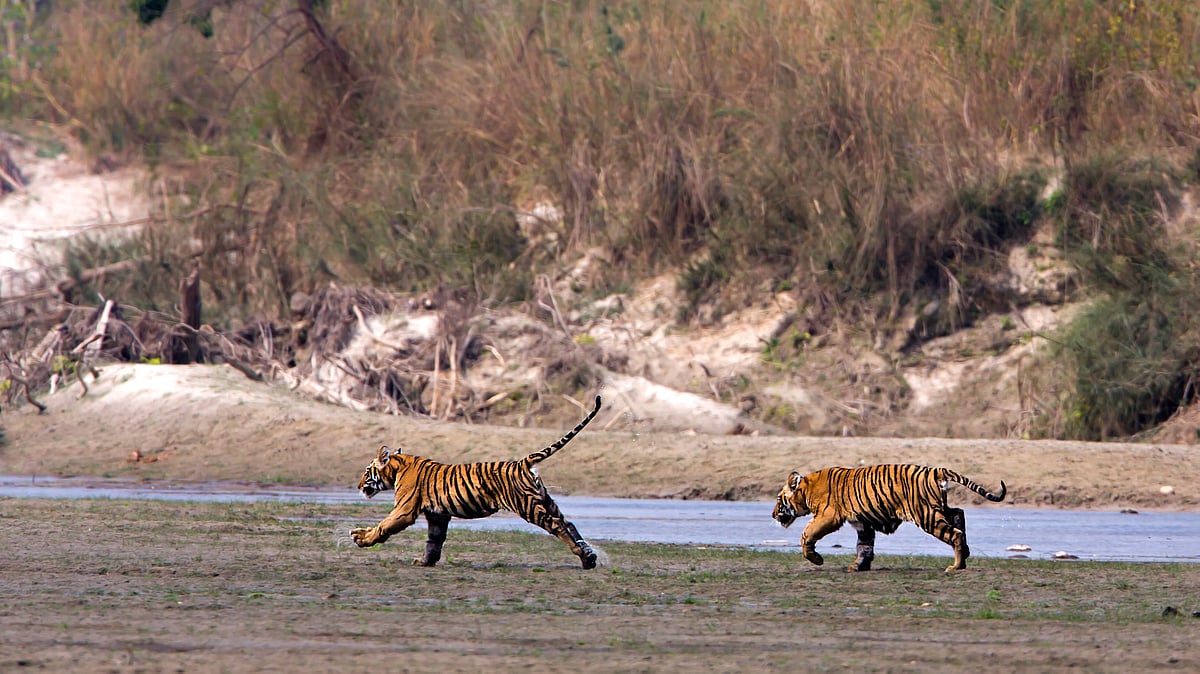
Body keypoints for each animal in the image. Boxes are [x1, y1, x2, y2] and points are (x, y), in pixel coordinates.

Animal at [350, 395, 602, 569]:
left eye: (367, 471)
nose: (358, 486)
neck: (398, 467)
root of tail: (522, 462)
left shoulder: (404, 510)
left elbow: (384, 525)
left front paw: (361, 538)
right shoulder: (437, 515)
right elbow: (434, 540)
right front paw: (425, 562)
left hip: (527, 506)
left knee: (558, 525)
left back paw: (582, 555)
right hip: (545, 500)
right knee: (569, 524)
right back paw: (588, 557)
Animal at [772, 464, 1007, 572]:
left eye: (778, 499)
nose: (773, 515)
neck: (806, 490)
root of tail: (935, 470)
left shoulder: (828, 516)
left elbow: (806, 534)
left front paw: (817, 559)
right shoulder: (863, 522)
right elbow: (864, 546)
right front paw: (859, 566)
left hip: (927, 515)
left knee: (955, 533)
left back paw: (956, 566)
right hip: (938, 509)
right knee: (959, 514)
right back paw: (965, 556)